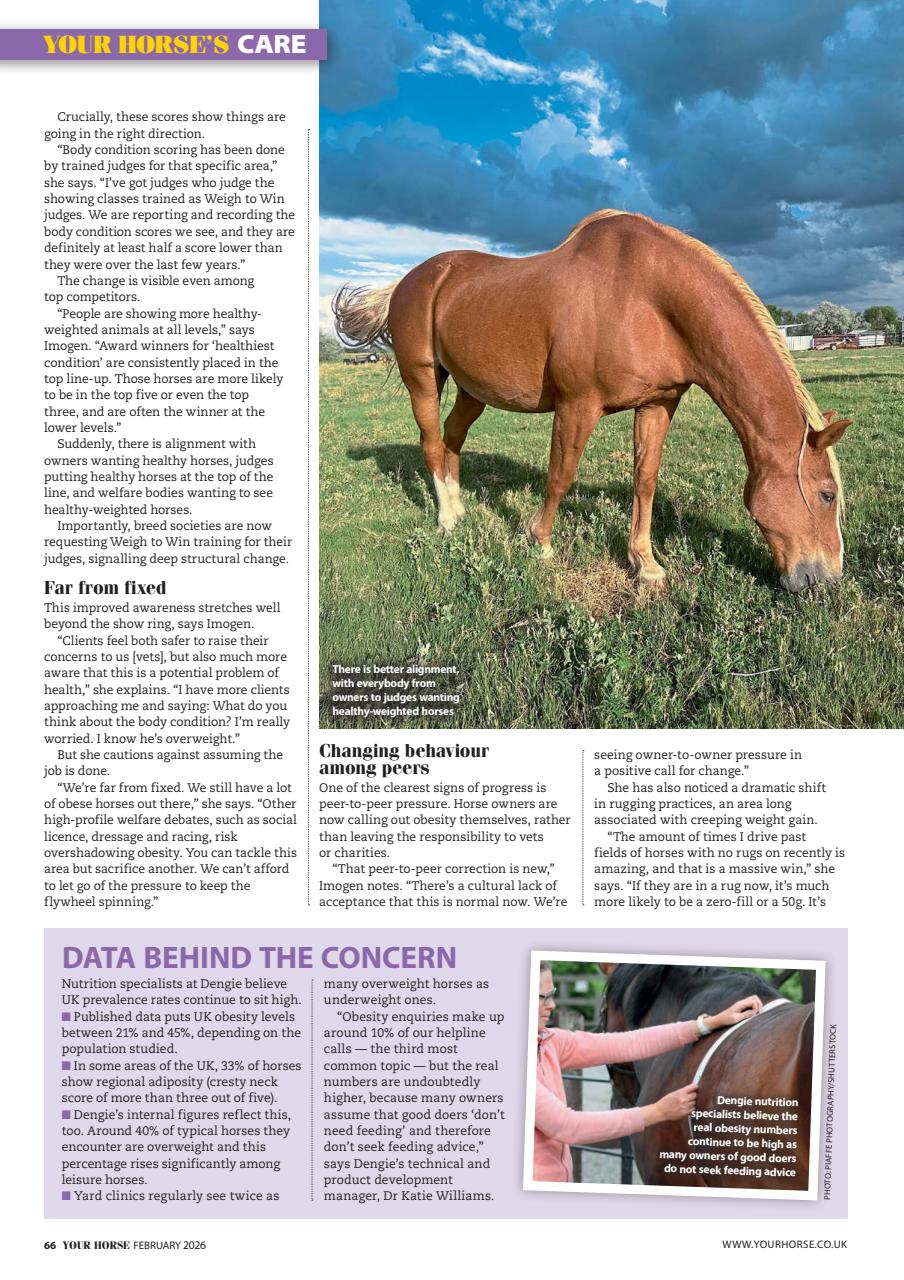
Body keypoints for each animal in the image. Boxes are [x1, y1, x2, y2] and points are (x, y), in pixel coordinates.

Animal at [332, 210, 852, 594]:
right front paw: (539, 543)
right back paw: (445, 520)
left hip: (472, 391)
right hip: (423, 378)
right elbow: (560, 475)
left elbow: (645, 480)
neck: (647, 297)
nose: (824, 579)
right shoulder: (577, 406)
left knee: (452, 440)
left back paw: (459, 509)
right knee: (430, 441)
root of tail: (407, 281)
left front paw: (645, 564)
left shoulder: (658, 404)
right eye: (827, 494)